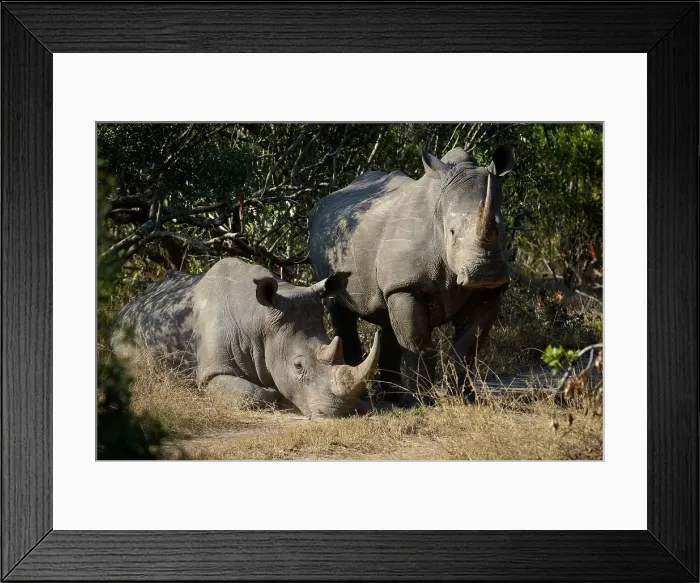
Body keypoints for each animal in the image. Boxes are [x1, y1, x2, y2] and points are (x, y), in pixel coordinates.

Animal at [110, 257, 380, 419]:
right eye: (298, 366)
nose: (340, 412)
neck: (258, 320)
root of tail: (128, 307)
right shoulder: (211, 374)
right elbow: (252, 393)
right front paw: (276, 397)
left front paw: (364, 405)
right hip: (124, 333)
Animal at [309, 145, 516, 404]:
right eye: (452, 232)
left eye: (504, 230)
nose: (487, 271)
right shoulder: (406, 286)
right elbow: (417, 344)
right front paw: (422, 401)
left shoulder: (488, 293)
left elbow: (468, 347)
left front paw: (465, 399)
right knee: (340, 310)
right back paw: (372, 397)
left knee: (385, 317)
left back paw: (393, 396)